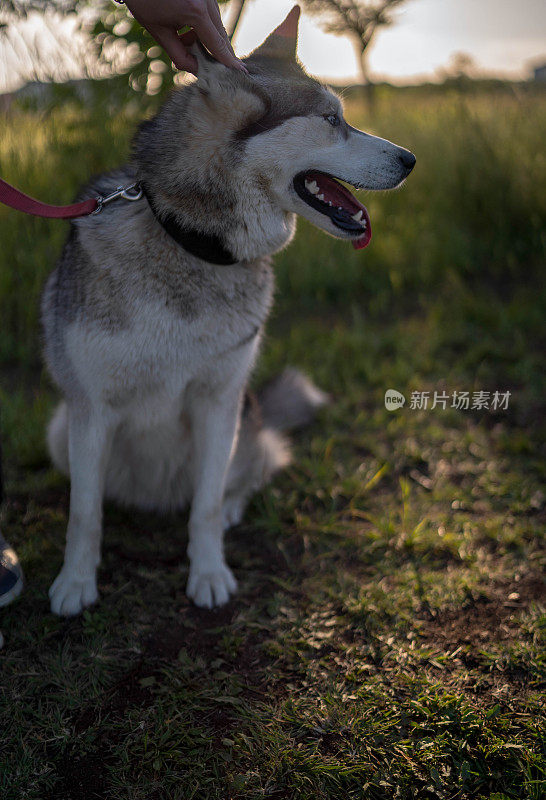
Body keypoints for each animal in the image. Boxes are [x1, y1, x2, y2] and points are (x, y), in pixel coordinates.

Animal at [42, 9, 414, 616]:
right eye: (332, 120)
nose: (410, 159)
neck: (193, 245)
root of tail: (157, 499)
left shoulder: (221, 403)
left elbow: (209, 505)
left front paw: (209, 572)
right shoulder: (90, 408)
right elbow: (83, 513)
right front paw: (75, 581)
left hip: (246, 424)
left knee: (248, 473)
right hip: (60, 428)